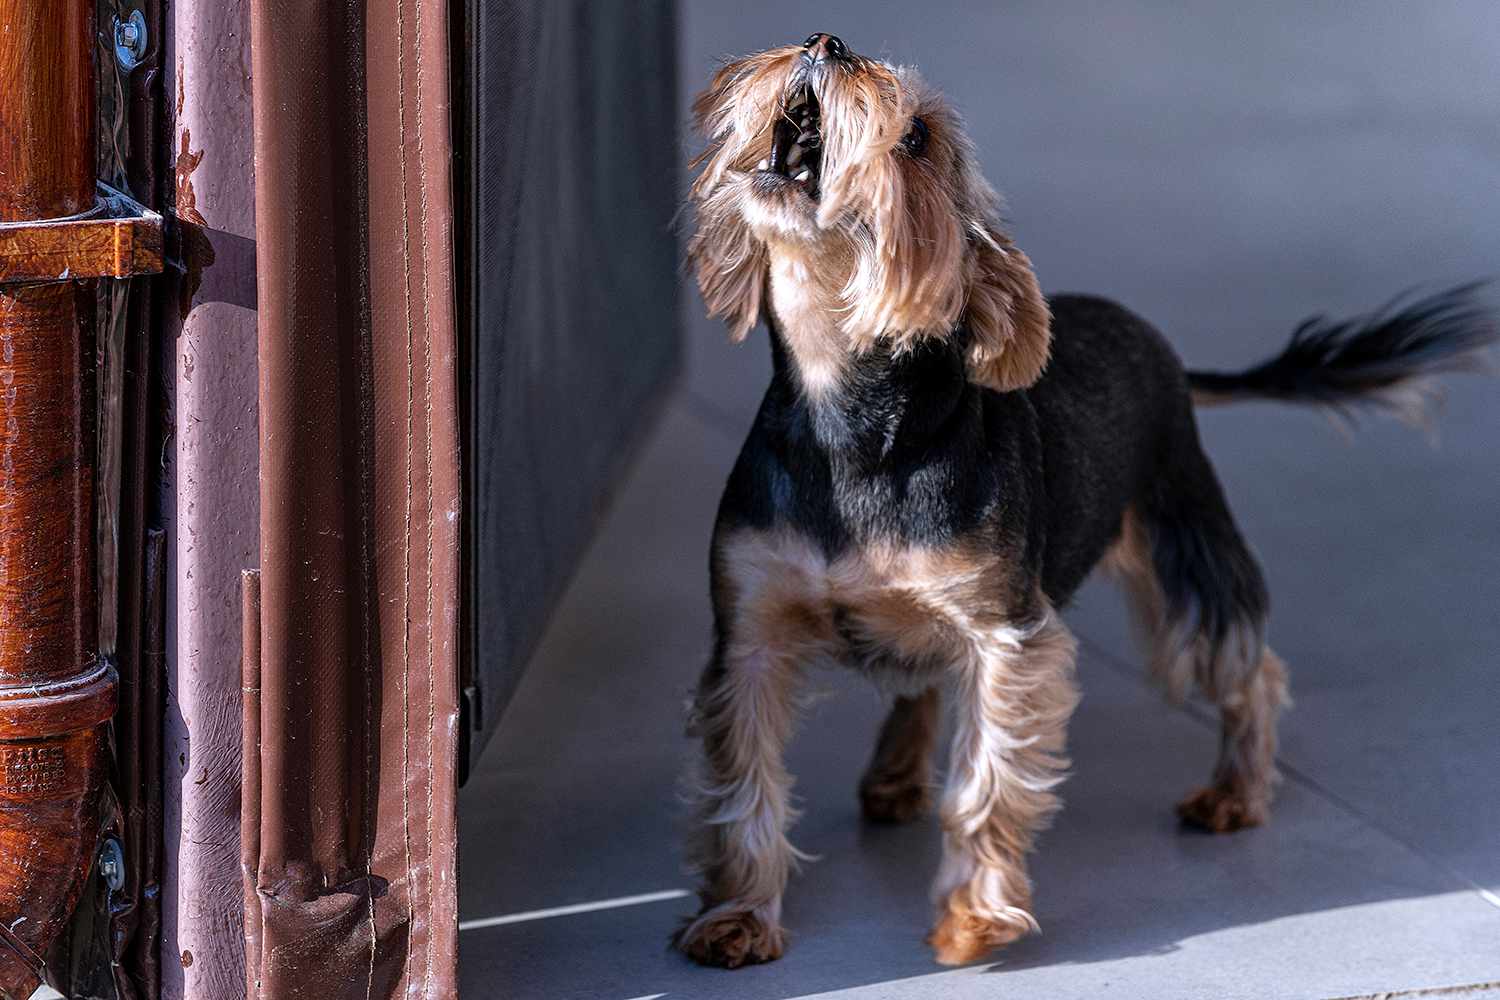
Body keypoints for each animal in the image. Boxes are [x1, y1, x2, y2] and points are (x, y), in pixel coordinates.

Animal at [681, 33, 1500, 971]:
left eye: (918, 138)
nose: (826, 42)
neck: (843, 416)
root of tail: (1160, 345)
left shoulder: (1005, 635)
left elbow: (986, 780)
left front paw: (973, 921)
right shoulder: (748, 631)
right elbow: (743, 784)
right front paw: (738, 916)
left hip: (1185, 541)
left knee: (1246, 667)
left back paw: (1236, 790)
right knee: (921, 678)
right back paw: (893, 773)